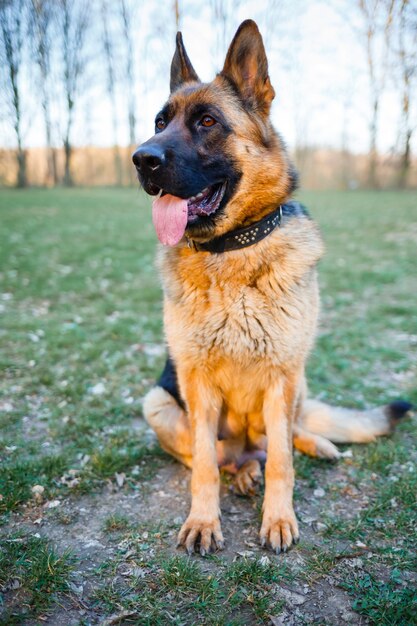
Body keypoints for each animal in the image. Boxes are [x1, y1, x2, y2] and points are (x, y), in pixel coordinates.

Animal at [132, 22, 410, 552]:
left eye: (207, 122)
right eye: (159, 121)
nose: (141, 159)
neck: (230, 253)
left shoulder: (281, 376)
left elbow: (282, 459)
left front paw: (278, 518)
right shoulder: (195, 382)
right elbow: (204, 465)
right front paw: (204, 521)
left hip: (297, 381)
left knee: (282, 439)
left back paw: (313, 445)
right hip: (158, 402)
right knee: (226, 458)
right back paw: (243, 473)